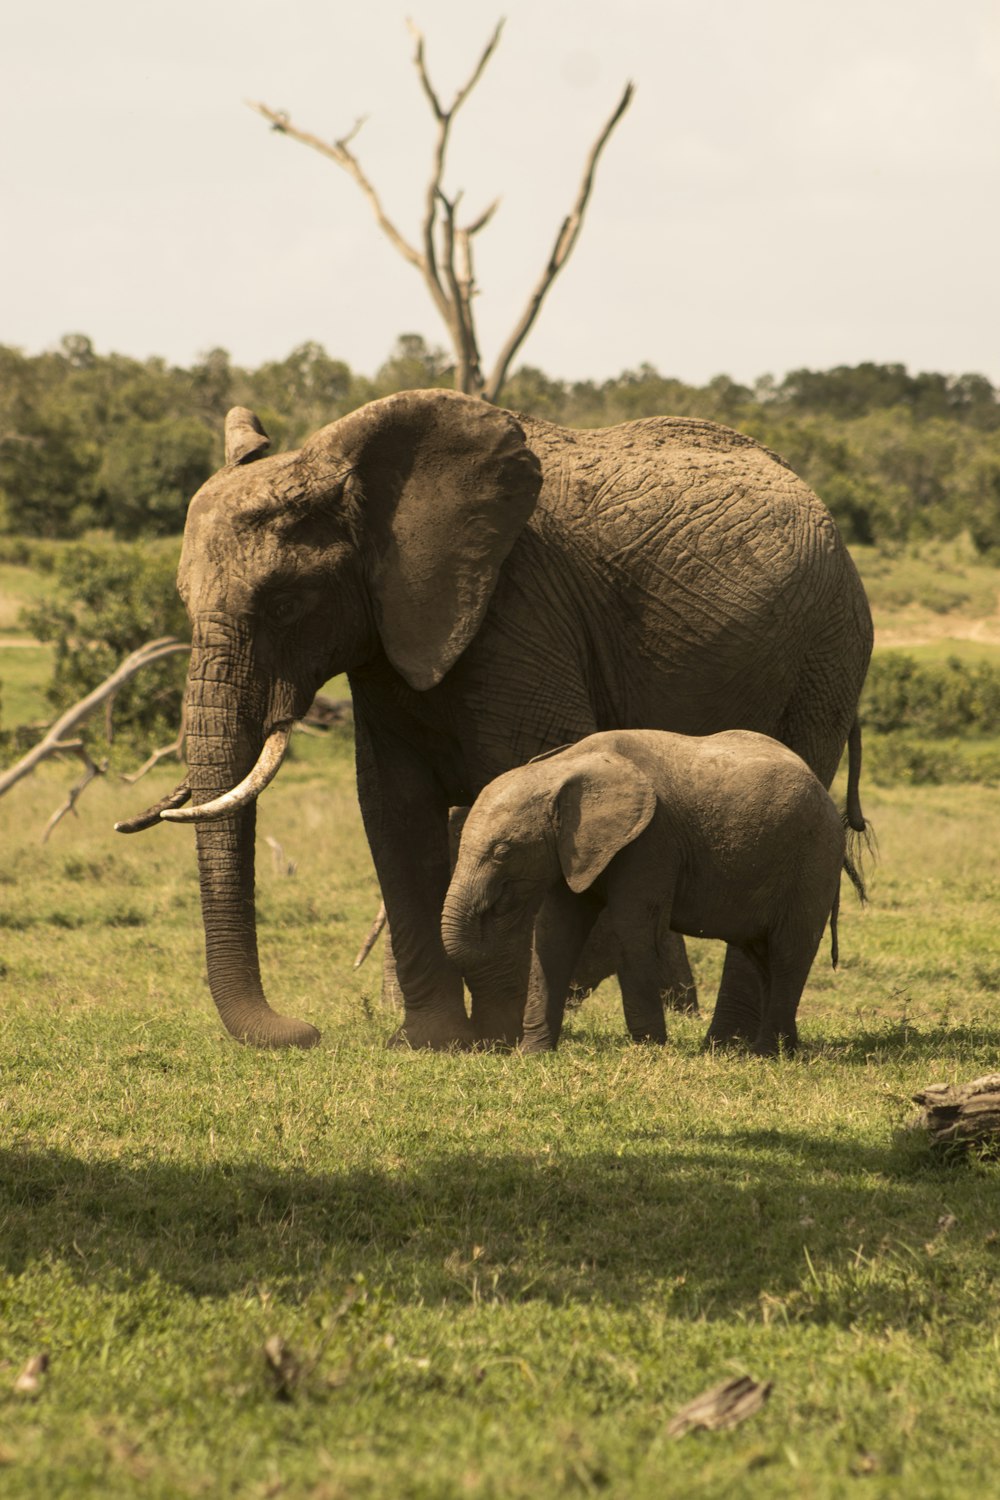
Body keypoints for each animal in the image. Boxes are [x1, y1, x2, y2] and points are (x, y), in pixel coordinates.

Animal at [440, 726, 863, 1056]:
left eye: (503, 852)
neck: (562, 768)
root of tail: (830, 801)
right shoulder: (570, 850)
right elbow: (554, 934)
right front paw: (533, 1054)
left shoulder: (650, 841)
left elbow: (632, 928)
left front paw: (650, 1050)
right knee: (763, 956)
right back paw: (784, 1049)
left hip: (812, 860)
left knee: (789, 950)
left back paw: (764, 1054)